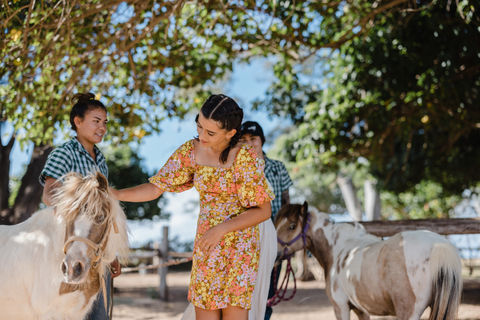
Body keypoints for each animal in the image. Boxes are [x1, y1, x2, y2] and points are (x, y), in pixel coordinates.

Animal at [276, 202, 464, 320]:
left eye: (292, 226)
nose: (276, 254)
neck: (337, 249)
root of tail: (439, 247)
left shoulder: (340, 307)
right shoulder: (361, 310)